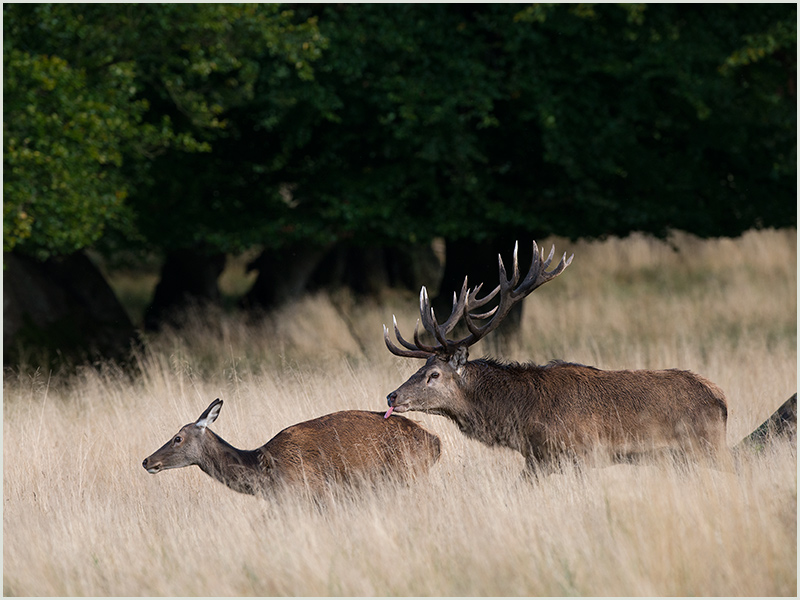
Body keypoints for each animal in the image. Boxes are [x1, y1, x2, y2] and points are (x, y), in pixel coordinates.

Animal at [384, 240, 736, 474]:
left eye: (434, 375)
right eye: (423, 367)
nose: (392, 396)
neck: (522, 418)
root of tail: (721, 399)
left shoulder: (583, 452)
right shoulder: (537, 459)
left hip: (706, 446)